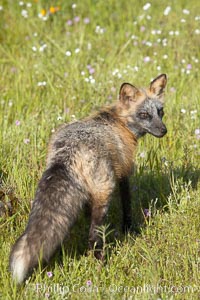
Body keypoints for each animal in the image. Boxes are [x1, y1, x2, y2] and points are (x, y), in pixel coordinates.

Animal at [9, 73, 167, 284]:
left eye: (160, 112)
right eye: (144, 115)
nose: (164, 130)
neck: (118, 122)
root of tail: (68, 152)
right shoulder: (124, 172)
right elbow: (127, 206)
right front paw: (129, 229)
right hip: (105, 192)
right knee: (93, 237)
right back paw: (101, 264)